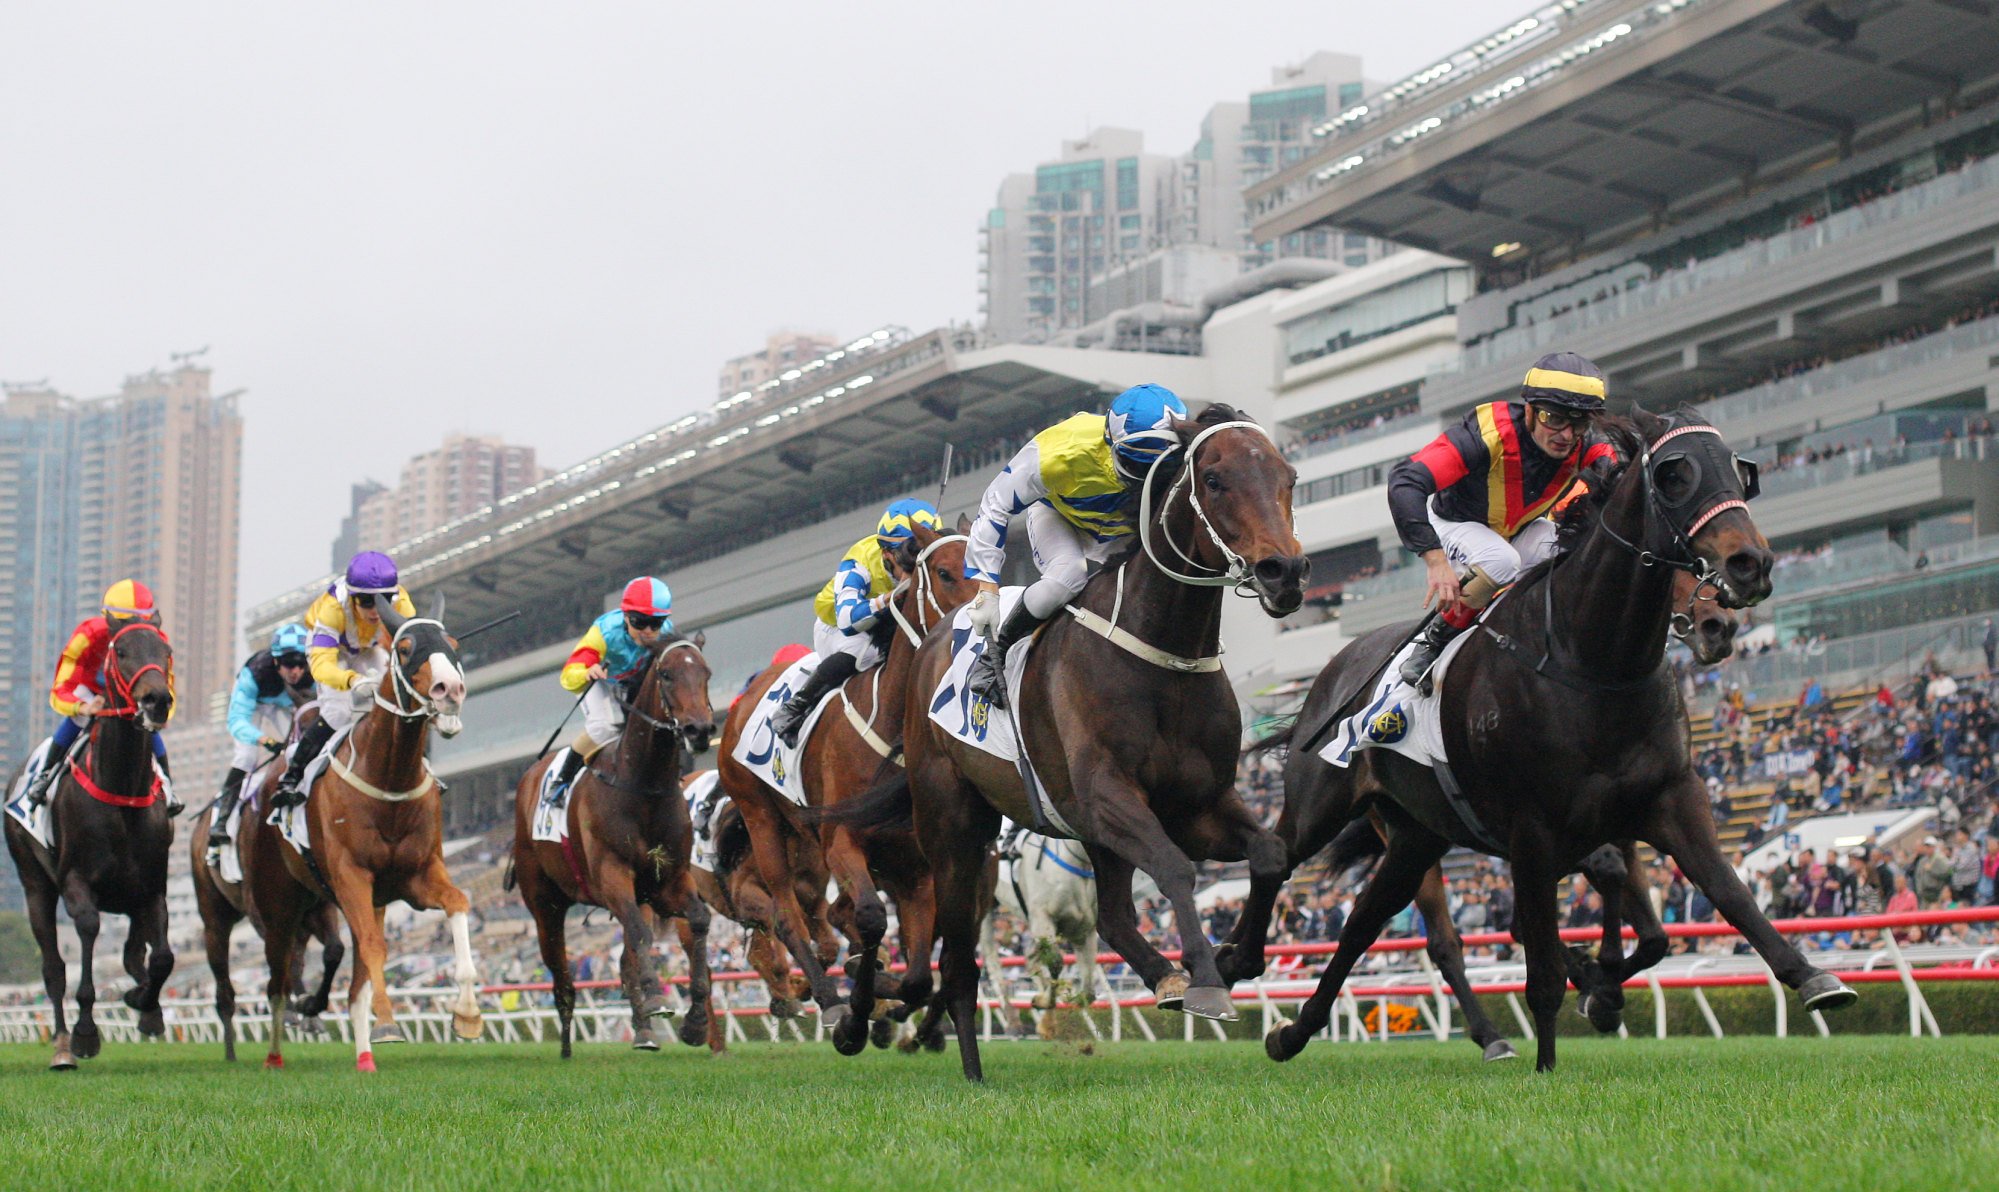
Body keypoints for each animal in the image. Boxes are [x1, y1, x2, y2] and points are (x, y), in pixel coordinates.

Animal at [2, 624, 175, 1072]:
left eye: (165, 651)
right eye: (122, 651)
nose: (157, 700)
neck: (121, 790)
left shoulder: (153, 888)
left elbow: (161, 958)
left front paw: (144, 1002)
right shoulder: (77, 883)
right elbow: (87, 934)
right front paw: (85, 1032)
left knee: (133, 953)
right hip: (34, 886)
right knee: (53, 968)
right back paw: (62, 1045)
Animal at [239, 604, 473, 1072]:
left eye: (453, 644)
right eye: (405, 648)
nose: (451, 689)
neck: (389, 778)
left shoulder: (417, 876)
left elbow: (457, 903)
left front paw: (468, 1014)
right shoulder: (351, 876)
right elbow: (372, 947)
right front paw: (389, 1021)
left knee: (349, 980)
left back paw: (364, 1055)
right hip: (279, 906)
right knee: (278, 979)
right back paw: (276, 1052)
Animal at [511, 632, 715, 1056]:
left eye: (706, 672)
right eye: (667, 674)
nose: (699, 730)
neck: (643, 783)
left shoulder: (668, 882)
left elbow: (697, 921)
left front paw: (695, 1021)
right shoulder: (612, 874)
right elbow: (639, 934)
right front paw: (656, 997)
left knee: (623, 959)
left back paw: (643, 1033)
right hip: (543, 903)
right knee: (559, 968)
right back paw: (566, 1041)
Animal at [719, 520, 975, 1040]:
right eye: (944, 572)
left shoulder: (915, 868)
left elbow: (918, 976)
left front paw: (876, 986)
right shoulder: (842, 842)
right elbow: (873, 917)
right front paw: (856, 1009)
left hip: (805, 837)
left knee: (823, 916)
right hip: (761, 818)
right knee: (787, 915)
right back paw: (828, 998)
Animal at [1231, 410, 1855, 1072]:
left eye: (1740, 472)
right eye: (1675, 476)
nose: (1748, 566)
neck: (1593, 659)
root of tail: (1330, 671)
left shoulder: (1666, 798)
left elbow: (1721, 895)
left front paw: (1812, 978)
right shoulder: (1534, 829)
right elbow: (1546, 961)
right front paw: (1553, 1056)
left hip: (1415, 835)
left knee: (1363, 925)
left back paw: (1294, 1031)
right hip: (1323, 802)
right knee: (1279, 857)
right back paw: (1233, 958)